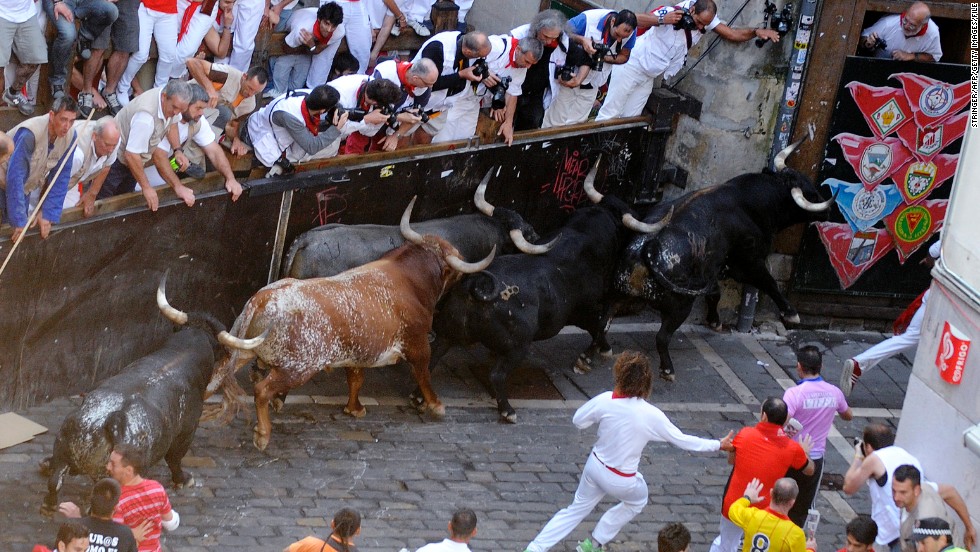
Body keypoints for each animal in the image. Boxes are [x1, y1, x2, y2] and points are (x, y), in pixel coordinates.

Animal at [39, 278, 225, 516]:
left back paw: (49, 499)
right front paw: (183, 480)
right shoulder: (187, 429)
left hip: (62, 449)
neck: (181, 354)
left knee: (55, 481)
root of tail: (107, 422)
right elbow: (175, 458)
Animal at [208, 198, 498, 448]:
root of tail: (264, 297)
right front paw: (436, 405)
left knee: (219, 372)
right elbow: (424, 374)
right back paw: (263, 434)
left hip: (244, 351)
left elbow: (356, 379)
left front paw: (354, 408)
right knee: (262, 390)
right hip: (299, 367)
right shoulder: (418, 344)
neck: (409, 280)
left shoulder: (357, 352)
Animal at [604, 157, 836, 378]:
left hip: (619, 295)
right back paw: (668, 370)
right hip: (680, 305)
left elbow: (715, 293)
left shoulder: (711, 271)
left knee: (604, 320)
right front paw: (791, 314)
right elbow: (769, 283)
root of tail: (648, 248)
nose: (828, 211)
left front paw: (714, 321)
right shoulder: (749, 262)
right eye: (810, 193)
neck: (748, 201)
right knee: (662, 336)